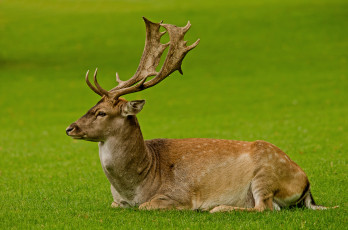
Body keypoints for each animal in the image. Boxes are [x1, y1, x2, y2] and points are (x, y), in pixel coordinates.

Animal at [65, 17, 334, 213]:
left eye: (101, 112)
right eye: (91, 106)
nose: (70, 128)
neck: (137, 184)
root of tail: (306, 183)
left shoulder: (177, 195)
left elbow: (146, 206)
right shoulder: (116, 201)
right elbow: (114, 205)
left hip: (265, 175)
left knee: (265, 207)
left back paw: (218, 208)